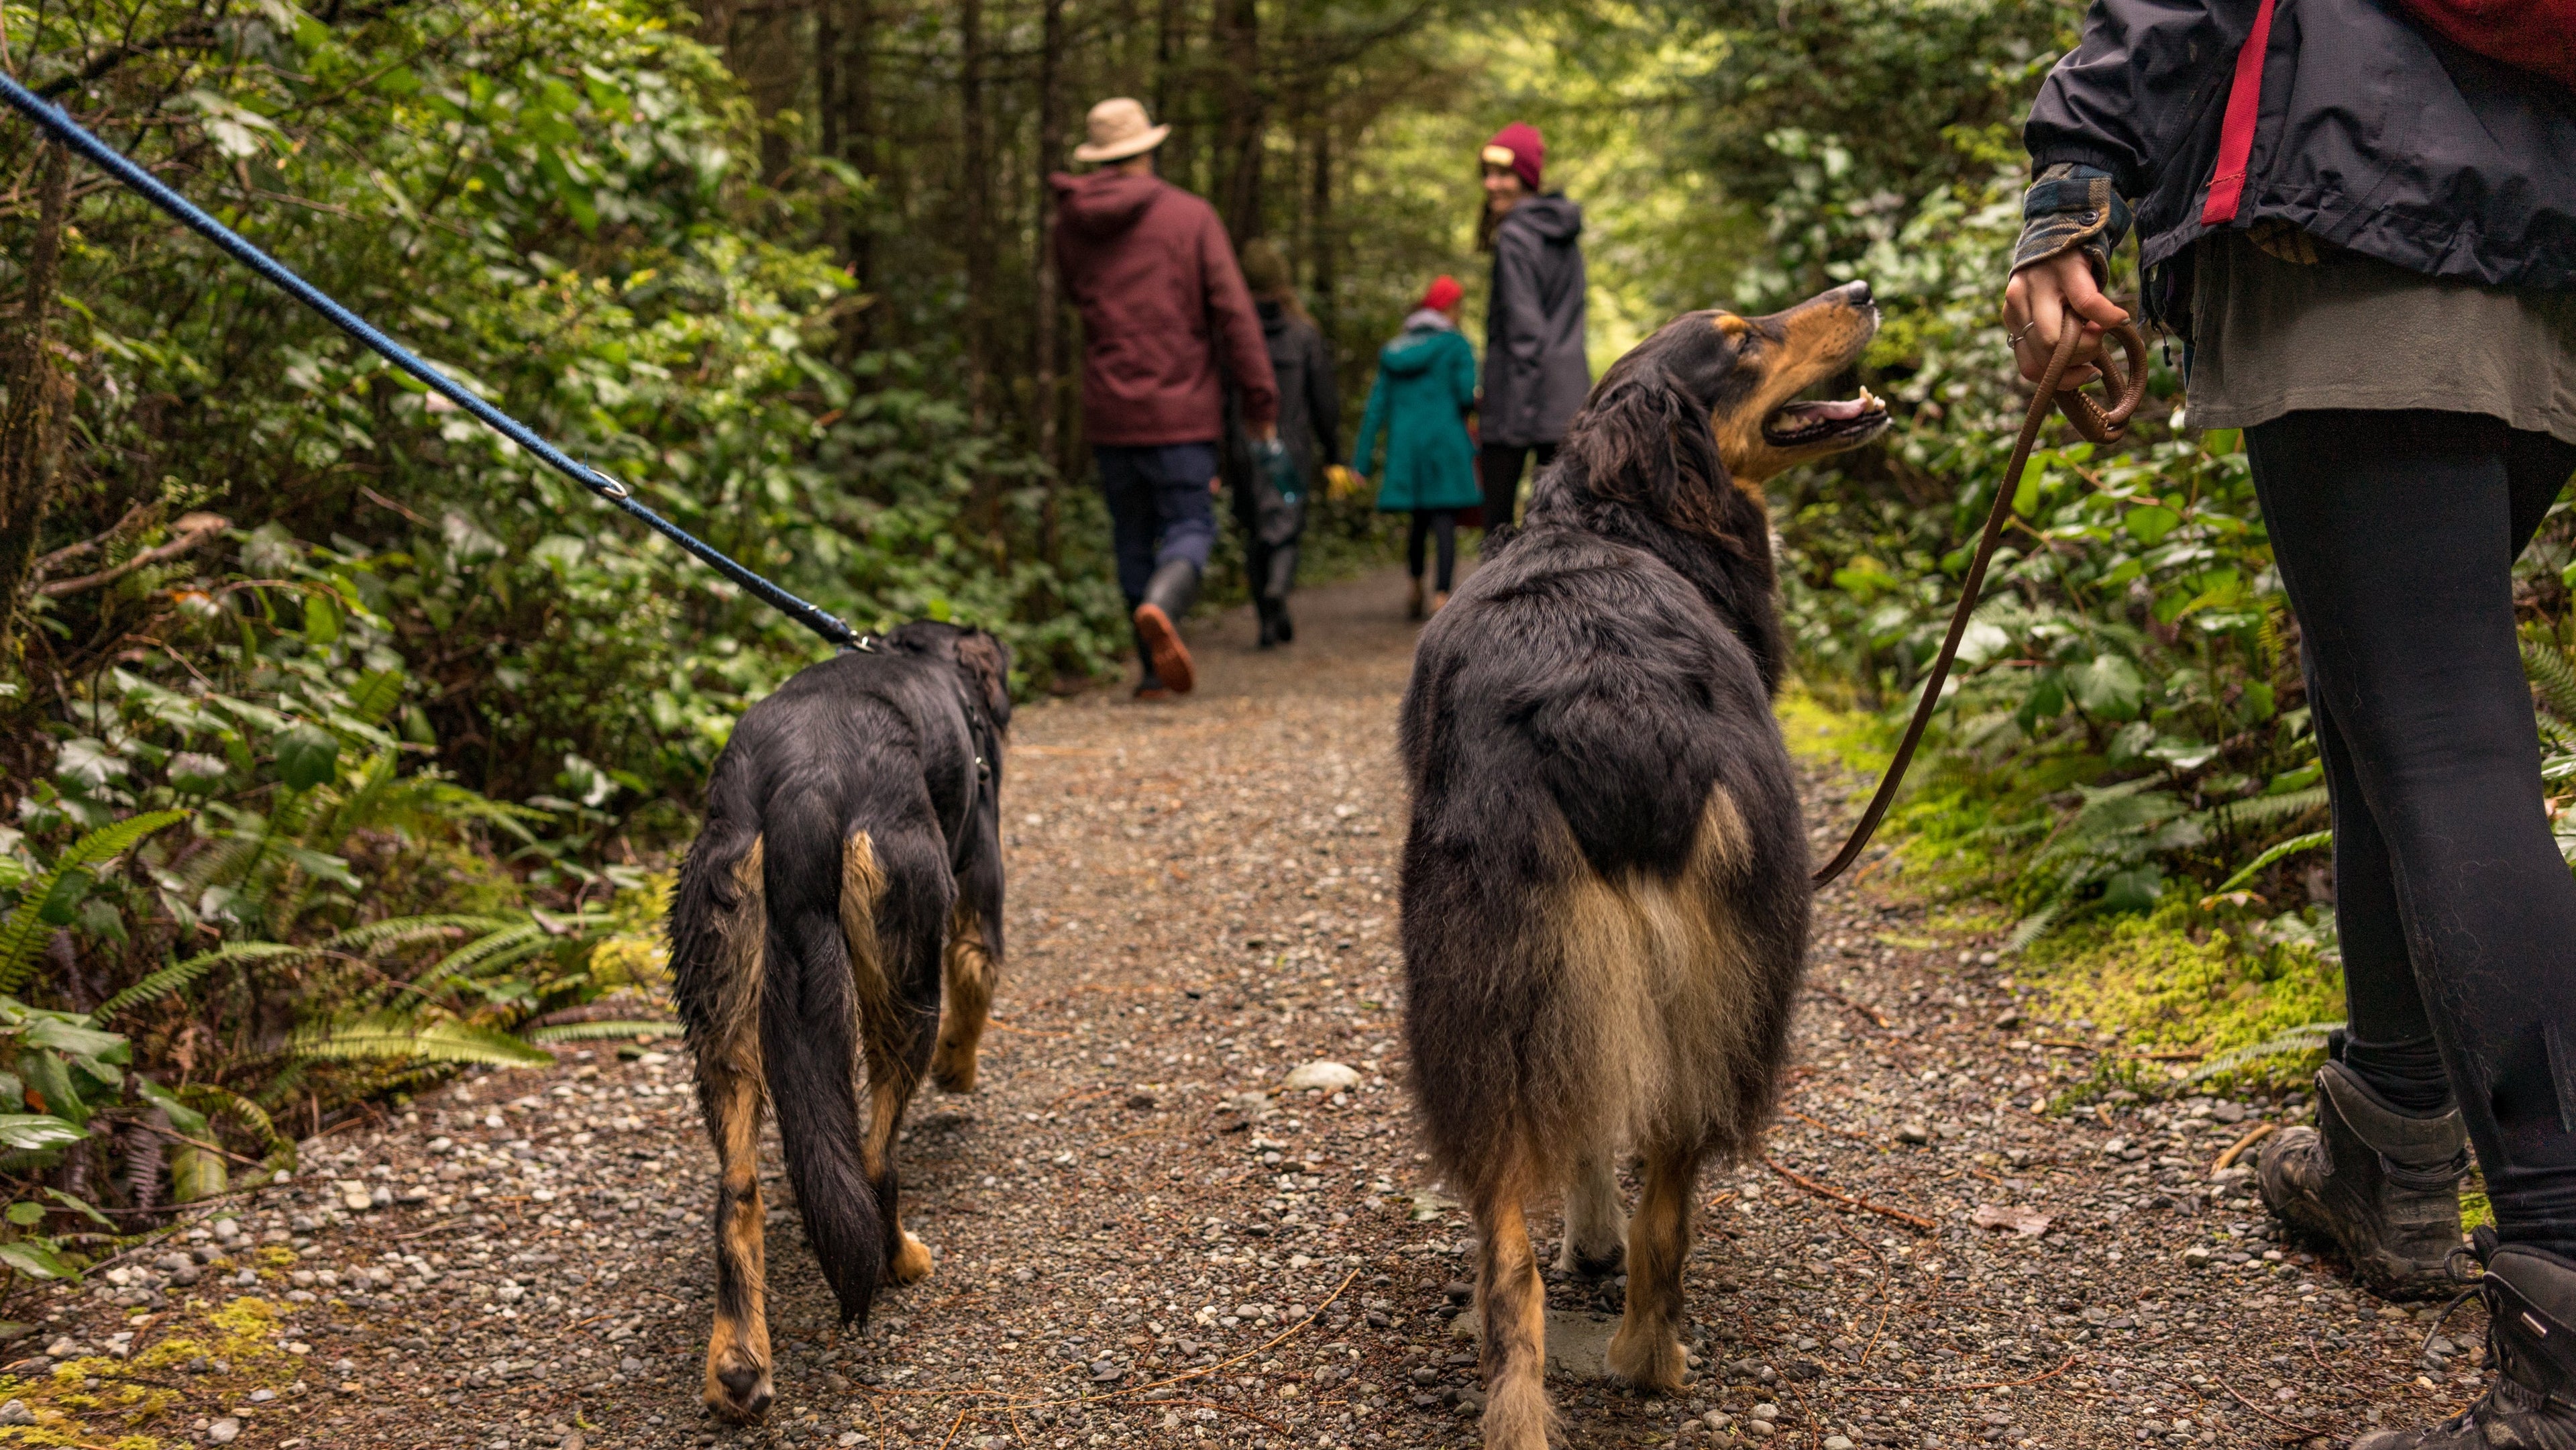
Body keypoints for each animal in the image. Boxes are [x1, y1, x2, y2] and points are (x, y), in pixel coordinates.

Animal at [669, 621, 1010, 1421]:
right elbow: (977, 980)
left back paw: (737, 1365)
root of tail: (805, 786)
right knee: (877, 1156)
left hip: (718, 1002)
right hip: (905, 970)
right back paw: (903, 1259)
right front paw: (960, 1067)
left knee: (738, 1189)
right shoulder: (979, 888)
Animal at [1401, 280, 1906, 1442]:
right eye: (1743, 339)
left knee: (1517, 1261)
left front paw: (1588, 1234)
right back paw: (1644, 1357)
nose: (1862, 290)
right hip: (1711, 987)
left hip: (1484, 1004)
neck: (1610, 515)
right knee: (1664, 1206)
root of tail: (1612, 704)